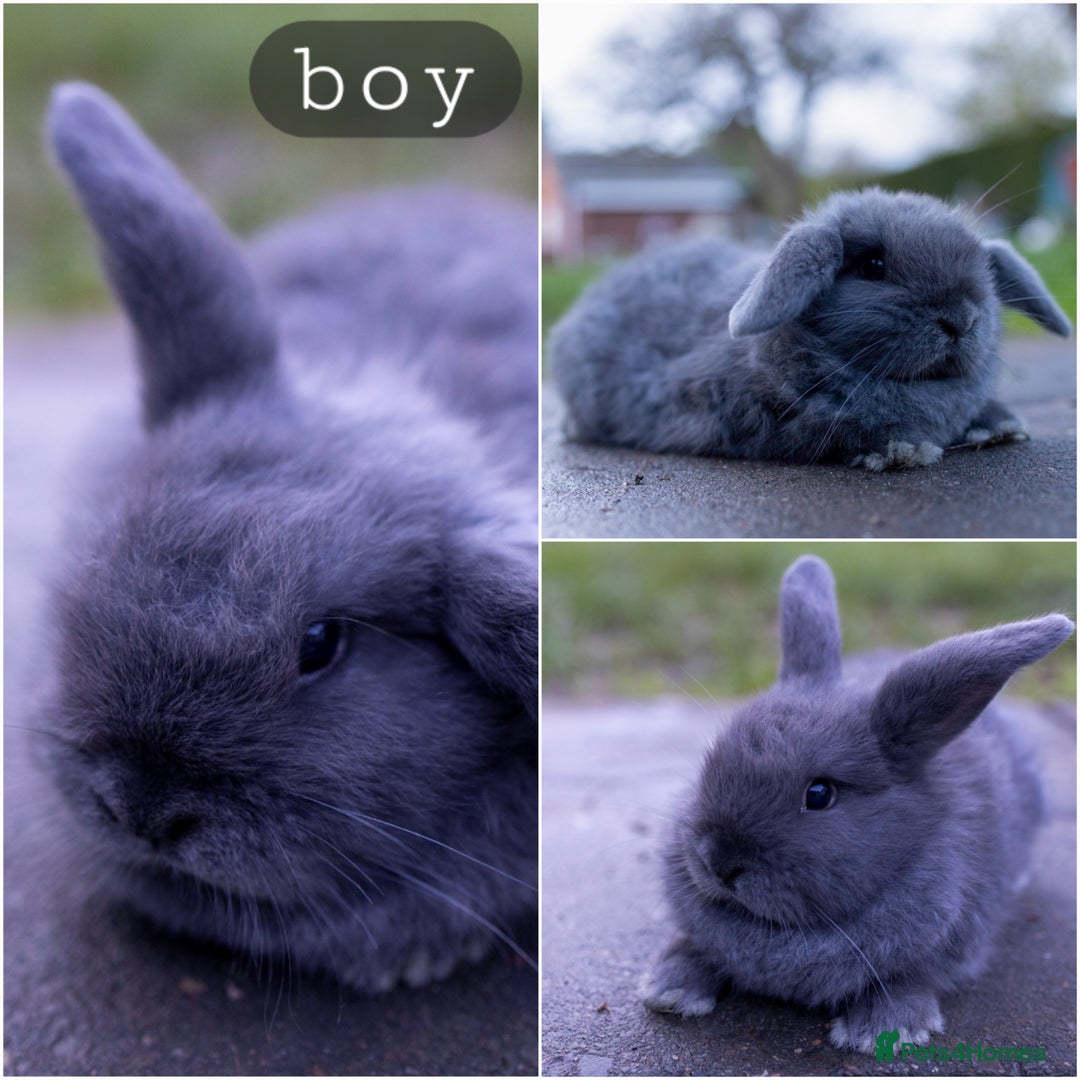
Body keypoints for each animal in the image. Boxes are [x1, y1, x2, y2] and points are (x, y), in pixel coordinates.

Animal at [642, 555, 1072, 1052]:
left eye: (819, 794)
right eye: (711, 760)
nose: (718, 862)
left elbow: (910, 978)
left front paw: (885, 1030)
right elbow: (694, 946)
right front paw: (669, 990)